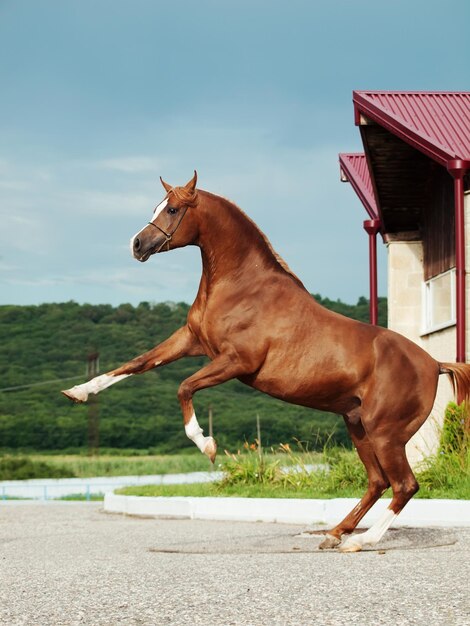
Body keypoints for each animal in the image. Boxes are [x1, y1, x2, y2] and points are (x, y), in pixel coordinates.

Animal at [63, 171, 470, 552]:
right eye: (155, 207)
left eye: (173, 209)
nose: (137, 245)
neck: (242, 287)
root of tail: (434, 363)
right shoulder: (190, 341)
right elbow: (135, 363)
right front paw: (78, 391)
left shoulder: (235, 362)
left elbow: (184, 387)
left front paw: (208, 446)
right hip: (357, 425)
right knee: (378, 482)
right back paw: (334, 533)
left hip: (386, 433)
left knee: (404, 485)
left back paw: (361, 541)